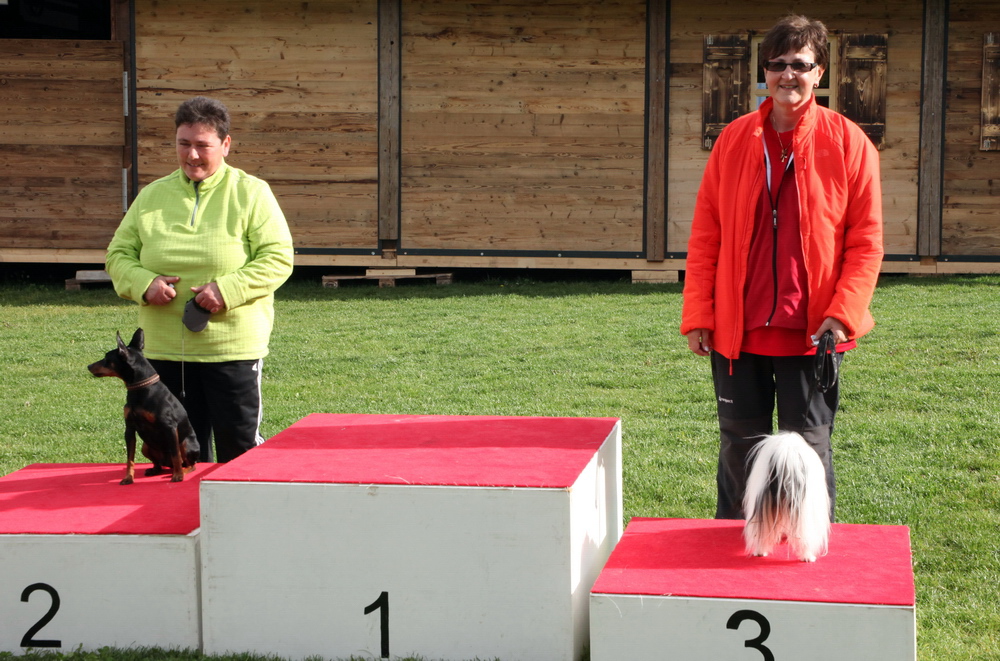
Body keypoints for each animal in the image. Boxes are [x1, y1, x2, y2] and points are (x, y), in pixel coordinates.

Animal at [88, 329, 199, 485]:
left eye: (106, 358)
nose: (88, 366)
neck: (140, 389)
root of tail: (167, 464)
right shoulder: (129, 428)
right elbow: (130, 459)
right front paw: (128, 478)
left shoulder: (169, 427)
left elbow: (175, 454)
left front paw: (178, 476)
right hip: (145, 447)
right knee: (159, 463)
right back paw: (154, 470)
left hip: (186, 443)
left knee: (189, 463)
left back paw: (181, 471)